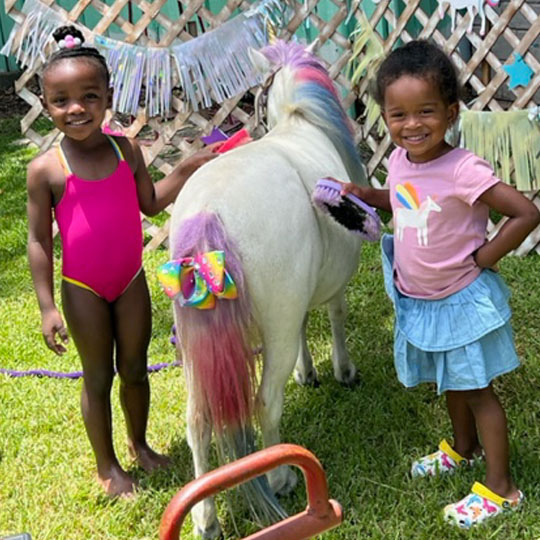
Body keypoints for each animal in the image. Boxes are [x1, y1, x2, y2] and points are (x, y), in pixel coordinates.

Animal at [165, 41, 368, 536]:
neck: (299, 121)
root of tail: (210, 211)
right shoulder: (328, 288)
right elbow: (335, 318)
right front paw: (340, 370)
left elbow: (305, 329)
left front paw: (308, 371)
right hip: (273, 330)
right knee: (265, 404)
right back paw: (279, 478)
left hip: (195, 349)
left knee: (197, 421)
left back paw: (205, 516)